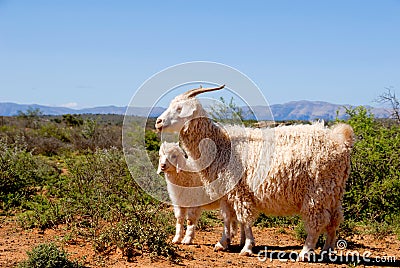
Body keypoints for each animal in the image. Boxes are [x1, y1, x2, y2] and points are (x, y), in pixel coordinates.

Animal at [155, 85, 354, 258]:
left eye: (179, 108)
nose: (158, 122)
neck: (221, 145)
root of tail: (341, 140)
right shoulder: (226, 192)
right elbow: (227, 218)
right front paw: (223, 243)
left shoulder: (240, 191)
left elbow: (245, 219)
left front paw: (247, 247)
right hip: (334, 192)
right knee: (334, 220)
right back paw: (328, 251)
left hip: (316, 192)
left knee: (316, 222)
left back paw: (305, 252)